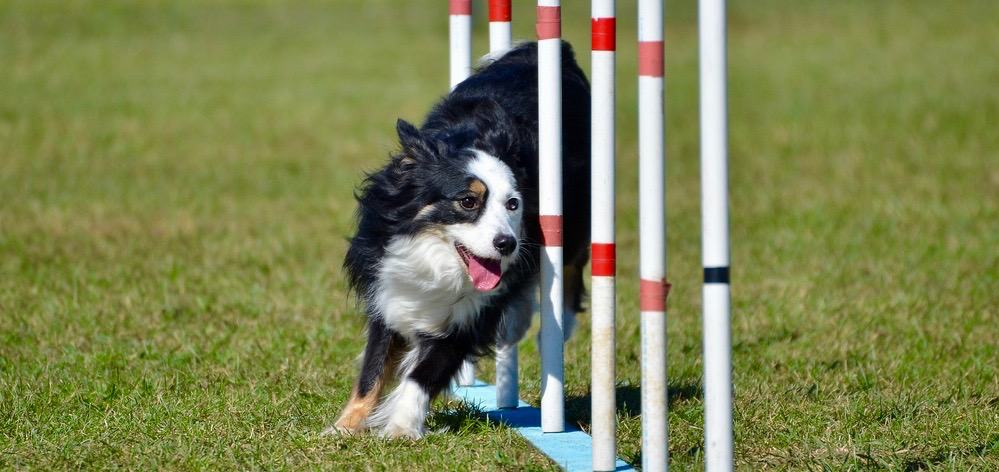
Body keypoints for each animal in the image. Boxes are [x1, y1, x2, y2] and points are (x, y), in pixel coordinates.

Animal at [328, 42, 592, 440]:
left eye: (513, 204)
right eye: (468, 201)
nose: (507, 244)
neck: (434, 255)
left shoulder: (469, 316)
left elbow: (424, 373)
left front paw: (401, 428)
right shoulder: (388, 288)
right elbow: (372, 368)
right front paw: (345, 426)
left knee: (573, 263)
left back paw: (558, 323)